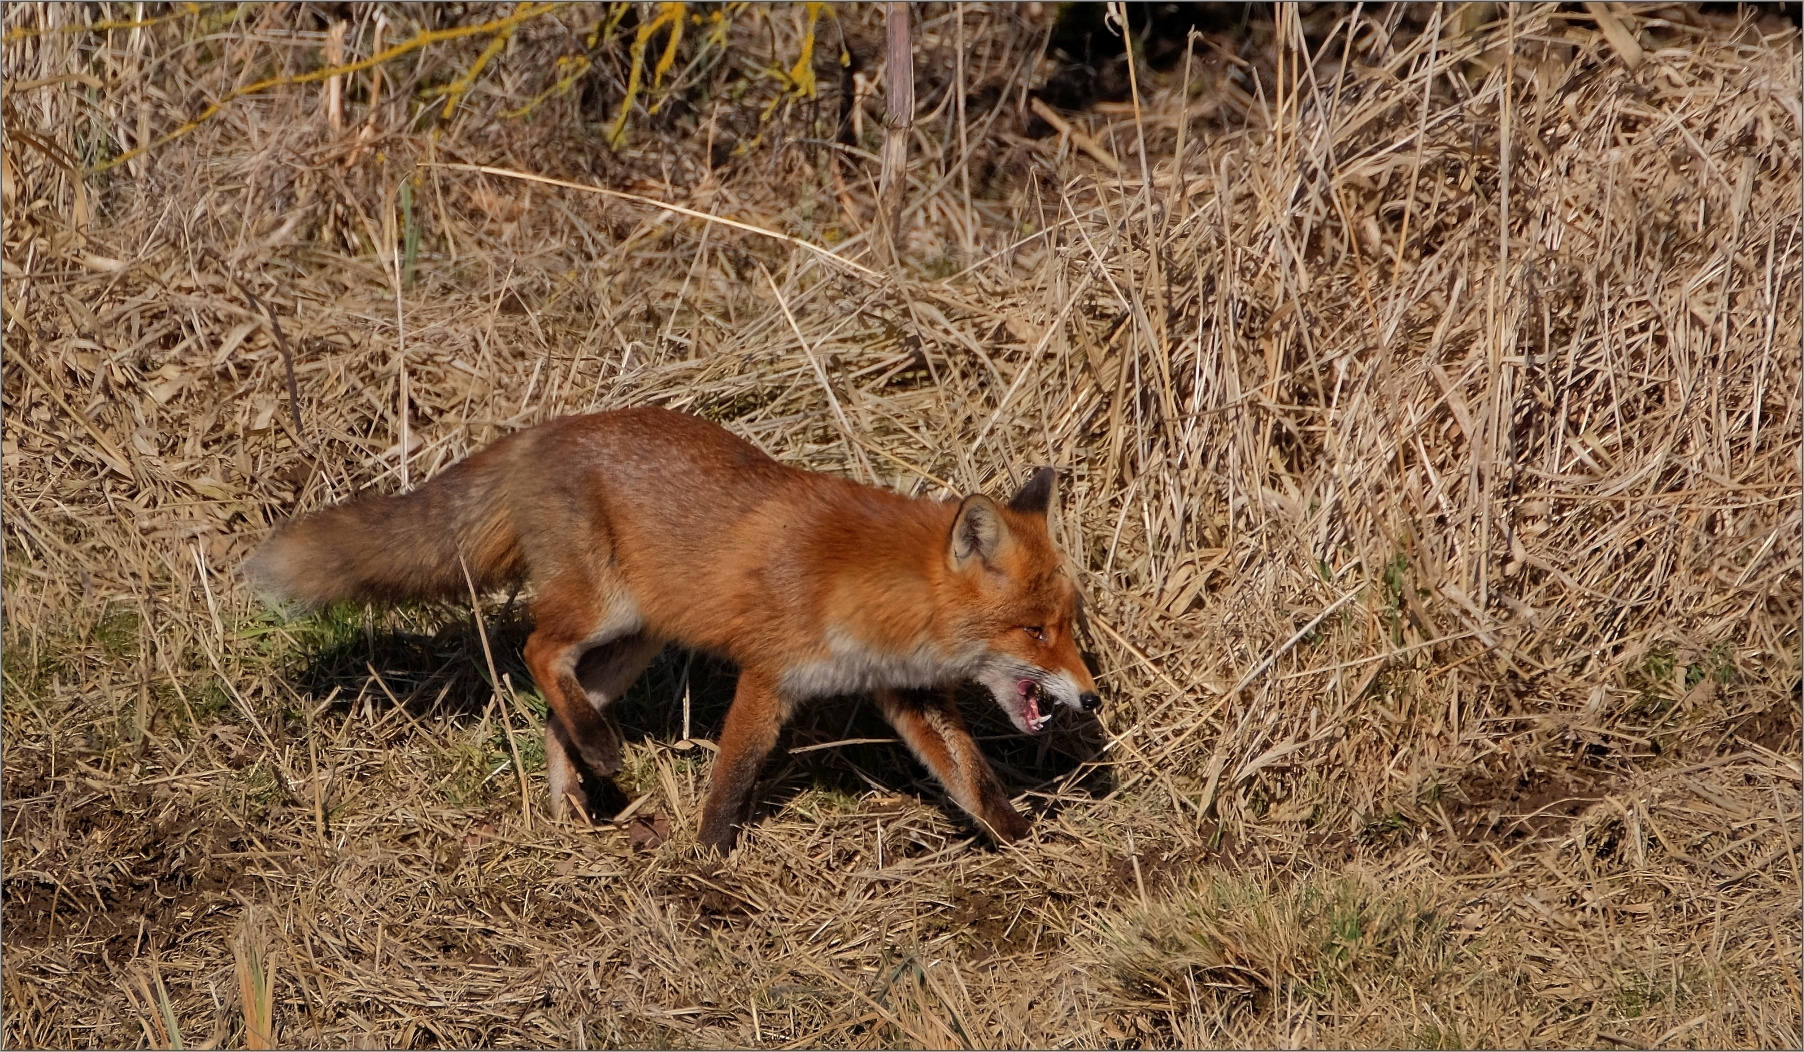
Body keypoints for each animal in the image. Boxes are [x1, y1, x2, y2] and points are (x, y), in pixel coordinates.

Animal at [247, 407, 1096, 851]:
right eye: (1034, 631)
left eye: (1069, 626)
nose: (1090, 700)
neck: (869, 588)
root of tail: (544, 430)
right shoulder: (770, 675)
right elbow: (733, 776)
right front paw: (709, 859)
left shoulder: (907, 695)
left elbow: (972, 780)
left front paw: (1022, 844)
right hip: (602, 611)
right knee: (535, 649)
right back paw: (599, 756)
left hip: (632, 643)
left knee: (560, 701)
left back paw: (574, 801)